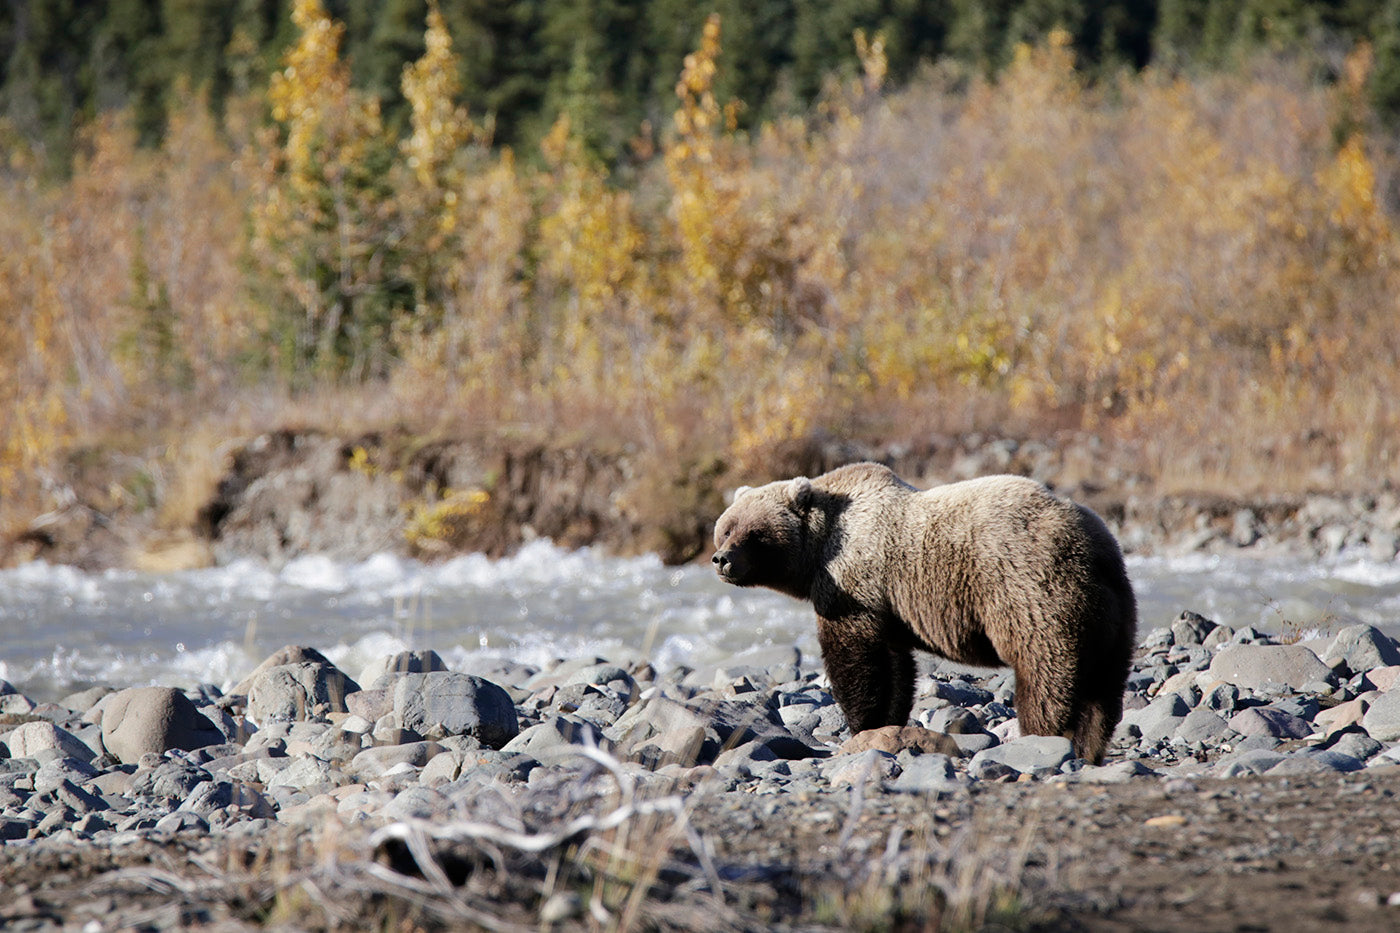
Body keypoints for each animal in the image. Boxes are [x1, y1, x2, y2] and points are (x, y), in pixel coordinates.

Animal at [711, 459, 1136, 762]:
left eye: (754, 532)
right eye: (727, 528)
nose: (721, 559)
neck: (818, 553)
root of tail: (1092, 545)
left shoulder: (854, 587)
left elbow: (857, 661)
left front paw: (861, 724)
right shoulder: (887, 609)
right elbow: (895, 669)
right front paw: (886, 724)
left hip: (1031, 592)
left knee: (1045, 672)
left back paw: (1041, 736)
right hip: (1111, 609)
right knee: (1104, 689)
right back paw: (1089, 748)